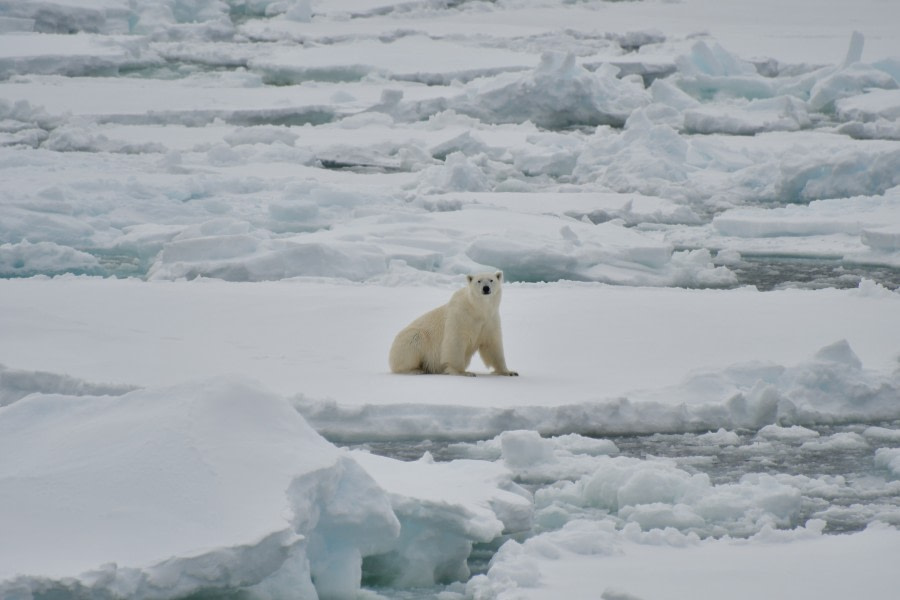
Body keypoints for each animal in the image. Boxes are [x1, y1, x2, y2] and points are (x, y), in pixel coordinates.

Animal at [388, 270, 520, 376]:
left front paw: (509, 372)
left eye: (491, 280)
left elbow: (492, 346)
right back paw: (416, 370)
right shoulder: (460, 317)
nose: (486, 288)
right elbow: (455, 342)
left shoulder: (490, 320)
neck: (477, 309)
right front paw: (464, 372)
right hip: (411, 339)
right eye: (478, 281)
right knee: (413, 342)